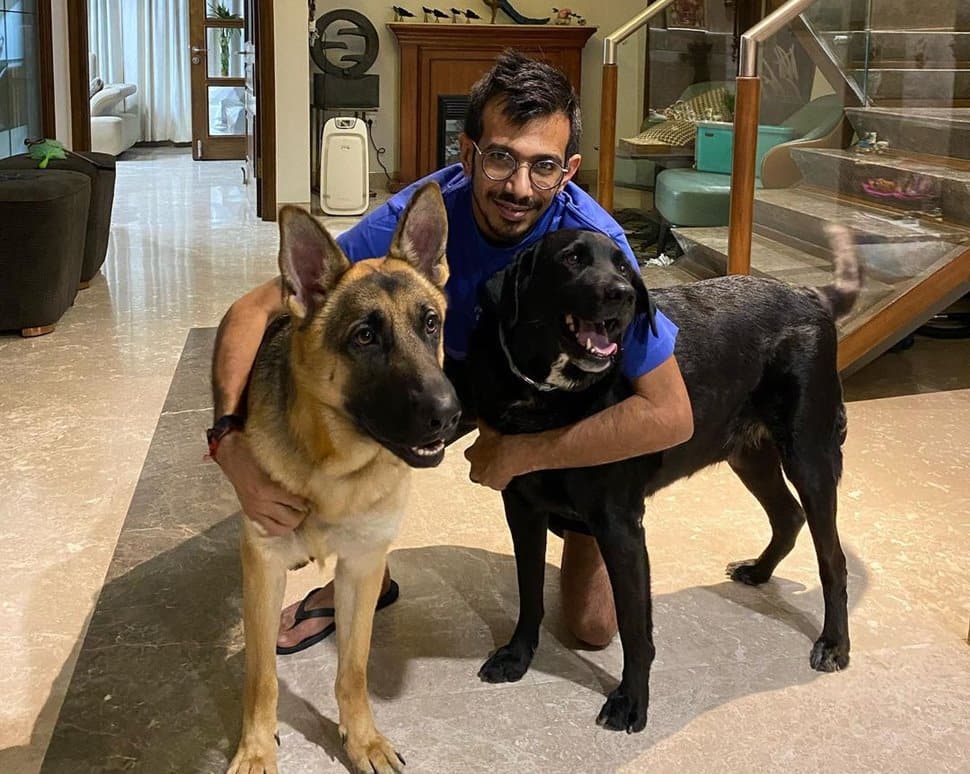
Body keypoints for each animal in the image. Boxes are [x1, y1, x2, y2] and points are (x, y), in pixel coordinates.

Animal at [225, 183, 460, 774]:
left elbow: (353, 671)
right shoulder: (262, 568)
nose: (449, 414)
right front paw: (256, 748)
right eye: (364, 337)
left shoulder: (361, 567)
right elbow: (261, 677)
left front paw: (363, 740)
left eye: (430, 323)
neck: (334, 465)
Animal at [466, 223, 860, 732]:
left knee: (833, 559)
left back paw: (834, 644)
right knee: (787, 515)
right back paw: (759, 570)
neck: (552, 396)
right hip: (748, 454)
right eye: (572, 259)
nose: (624, 295)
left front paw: (631, 701)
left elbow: (636, 628)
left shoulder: (621, 528)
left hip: (809, 458)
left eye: (622, 264)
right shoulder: (521, 509)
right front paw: (517, 655)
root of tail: (808, 294)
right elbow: (529, 592)